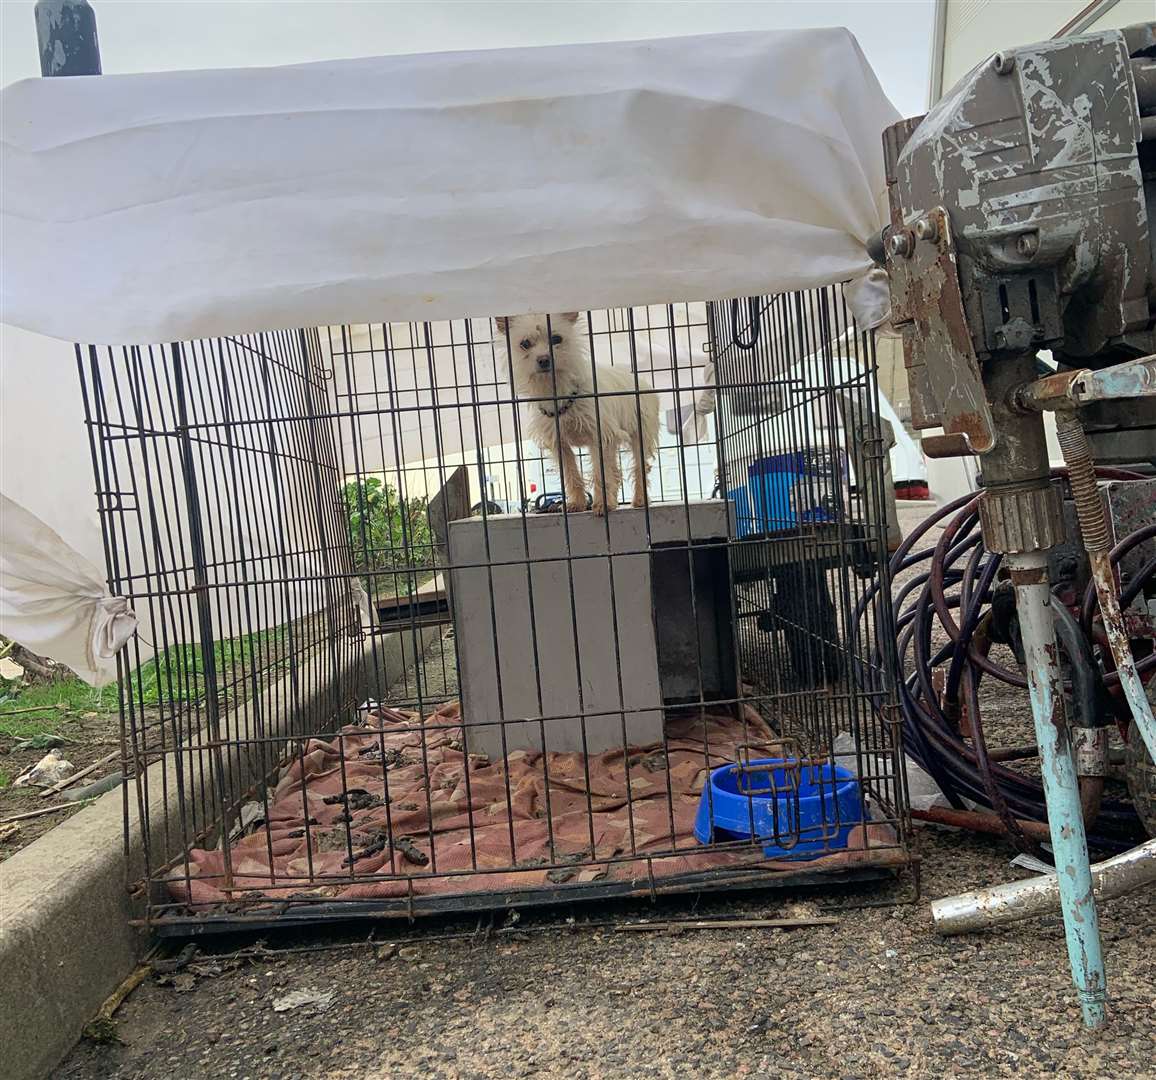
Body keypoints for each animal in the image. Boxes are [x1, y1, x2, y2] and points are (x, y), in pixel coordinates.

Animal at [497, 312, 661, 515]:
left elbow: (601, 473)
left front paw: (603, 504)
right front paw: (577, 503)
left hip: (640, 434)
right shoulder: (560, 445)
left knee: (640, 466)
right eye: (525, 343)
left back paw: (639, 499)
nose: (543, 359)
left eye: (556, 339)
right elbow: (571, 473)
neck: (558, 391)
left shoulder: (600, 437)